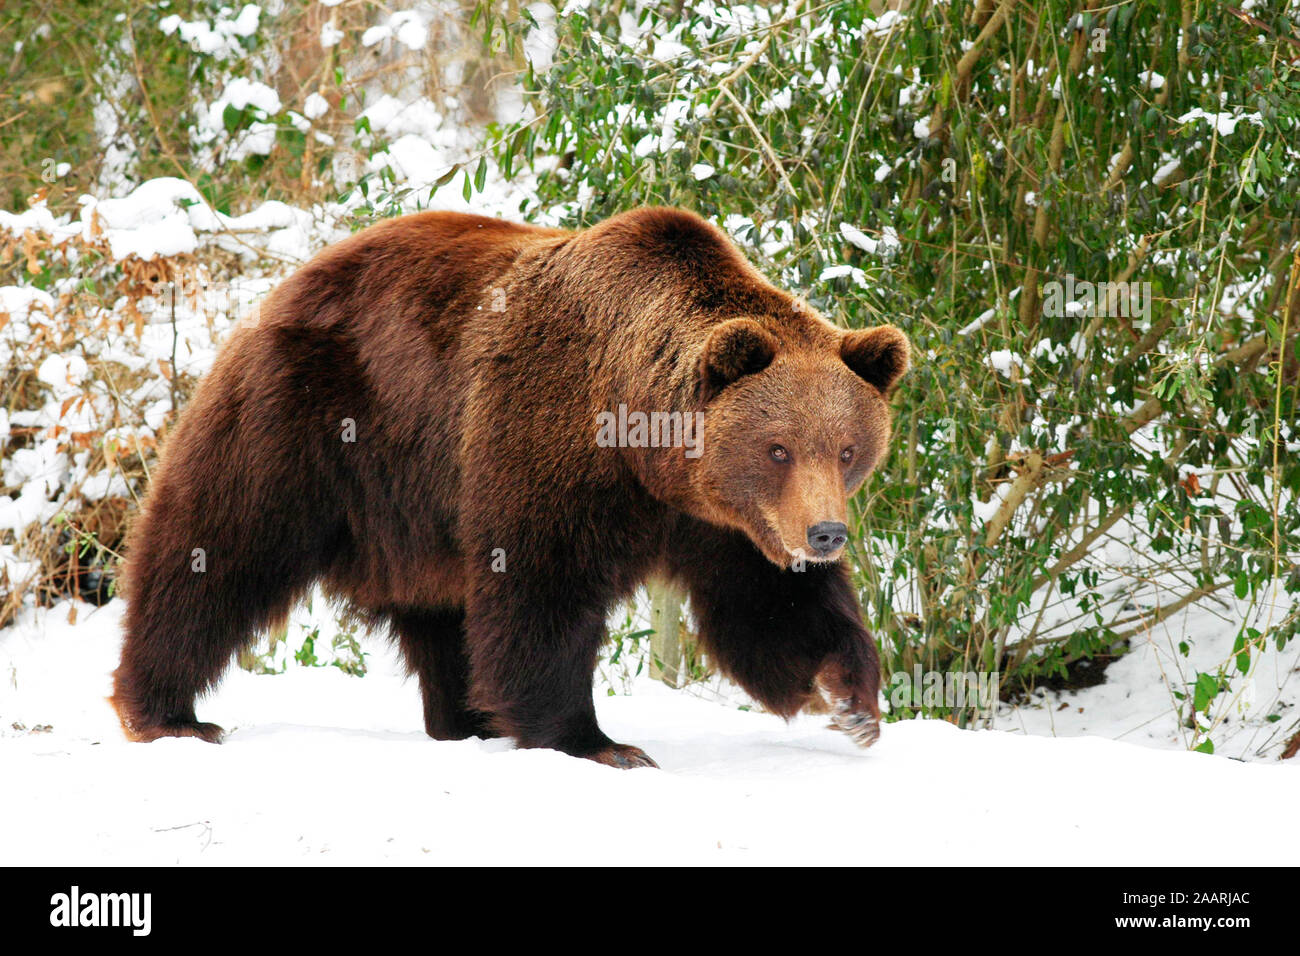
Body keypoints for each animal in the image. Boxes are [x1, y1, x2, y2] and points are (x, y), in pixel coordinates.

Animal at [109, 209, 904, 770]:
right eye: (778, 448)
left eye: (847, 448)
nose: (826, 534)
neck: (644, 451)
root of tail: (293, 278)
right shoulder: (547, 438)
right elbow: (541, 586)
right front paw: (598, 741)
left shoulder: (718, 518)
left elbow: (767, 602)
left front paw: (851, 696)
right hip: (307, 424)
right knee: (216, 548)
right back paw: (169, 713)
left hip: (416, 510)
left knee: (440, 616)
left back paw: (464, 720)